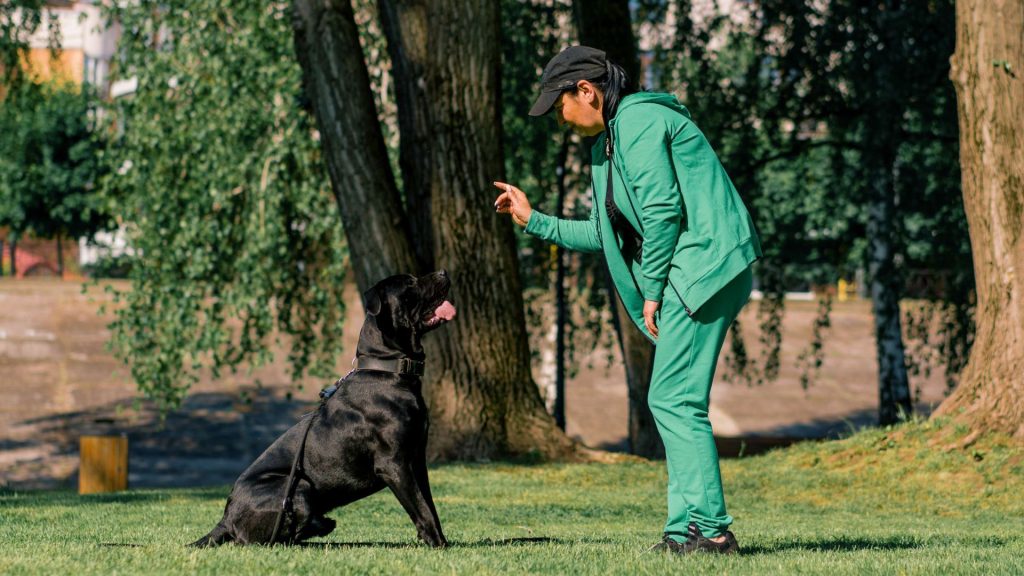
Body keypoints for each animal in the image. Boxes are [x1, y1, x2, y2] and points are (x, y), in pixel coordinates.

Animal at [193, 270, 458, 545]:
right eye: (410, 283)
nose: (443, 272)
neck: (390, 370)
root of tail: (225, 520)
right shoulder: (394, 463)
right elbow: (421, 508)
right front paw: (438, 544)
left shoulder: (416, 459)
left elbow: (429, 505)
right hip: (296, 486)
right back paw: (321, 524)